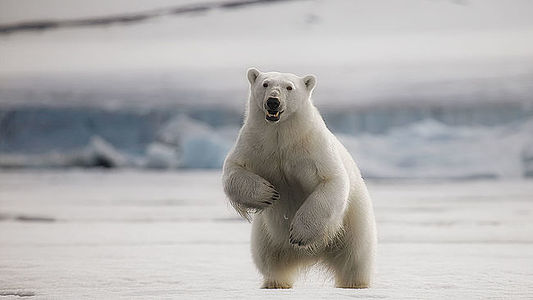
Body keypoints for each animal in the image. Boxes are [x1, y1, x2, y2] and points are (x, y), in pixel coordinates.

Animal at [222, 67, 376, 288]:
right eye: (265, 84)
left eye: (289, 87)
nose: (273, 101)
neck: (282, 134)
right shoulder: (254, 144)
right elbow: (233, 170)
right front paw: (268, 193)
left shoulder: (312, 147)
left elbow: (331, 180)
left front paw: (299, 235)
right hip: (265, 236)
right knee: (268, 260)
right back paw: (275, 283)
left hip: (355, 226)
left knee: (355, 261)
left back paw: (355, 283)